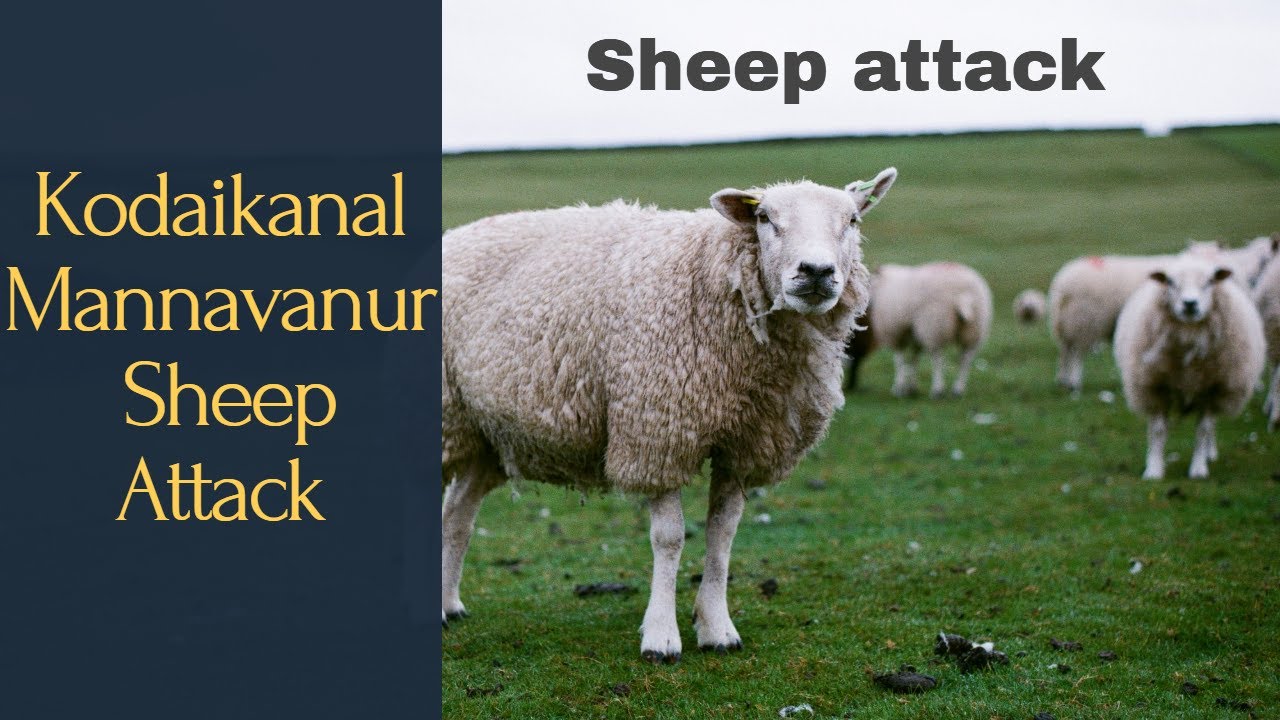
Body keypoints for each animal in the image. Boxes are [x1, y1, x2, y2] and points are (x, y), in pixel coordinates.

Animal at [441, 169, 898, 663]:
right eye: (764, 218)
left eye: (852, 220)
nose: (816, 271)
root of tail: (455, 236)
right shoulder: (657, 430)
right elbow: (670, 537)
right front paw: (661, 637)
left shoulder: (744, 444)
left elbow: (722, 534)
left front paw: (717, 627)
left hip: (486, 434)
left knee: (457, 512)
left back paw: (448, 605)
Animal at [868, 262, 993, 398]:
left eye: (869, 282)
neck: (883, 285)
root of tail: (964, 296)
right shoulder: (913, 333)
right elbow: (914, 358)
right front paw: (912, 387)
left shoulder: (895, 331)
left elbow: (899, 360)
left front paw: (899, 388)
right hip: (974, 329)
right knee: (965, 360)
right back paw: (958, 389)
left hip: (934, 325)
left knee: (938, 358)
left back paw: (937, 390)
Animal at [1113, 255, 1264, 479]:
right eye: (1170, 282)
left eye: (1210, 281)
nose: (1190, 304)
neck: (1190, 334)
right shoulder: (1156, 387)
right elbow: (1158, 430)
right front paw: (1154, 470)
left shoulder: (1212, 388)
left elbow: (1203, 429)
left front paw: (1198, 469)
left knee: (1211, 426)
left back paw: (1210, 453)